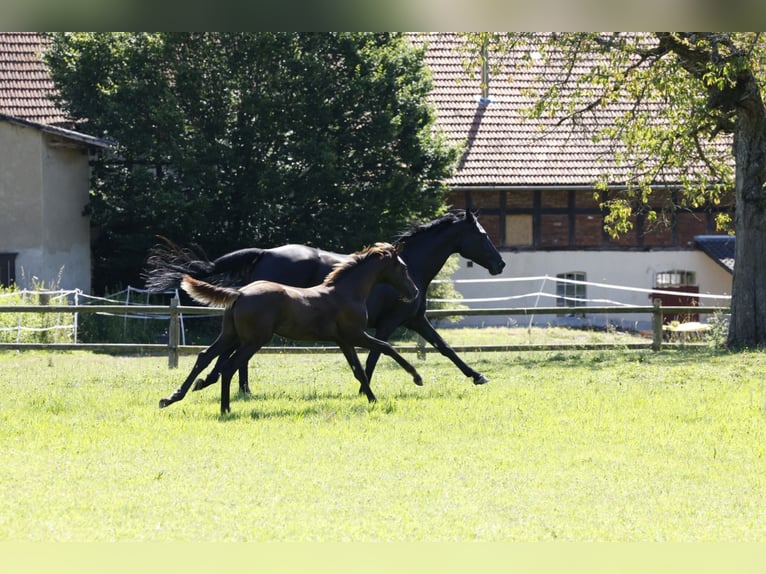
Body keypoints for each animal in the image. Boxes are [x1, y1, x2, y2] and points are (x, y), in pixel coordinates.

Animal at [160, 243, 424, 414]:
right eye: (403, 268)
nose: (414, 292)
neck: (346, 292)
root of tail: (240, 293)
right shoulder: (356, 334)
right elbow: (387, 347)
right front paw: (417, 377)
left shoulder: (344, 340)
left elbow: (358, 370)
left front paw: (372, 399)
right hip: (254, 340)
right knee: (229, 366)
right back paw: (225, 408)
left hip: (230, 335)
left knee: (205, 356)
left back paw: (172, 397)